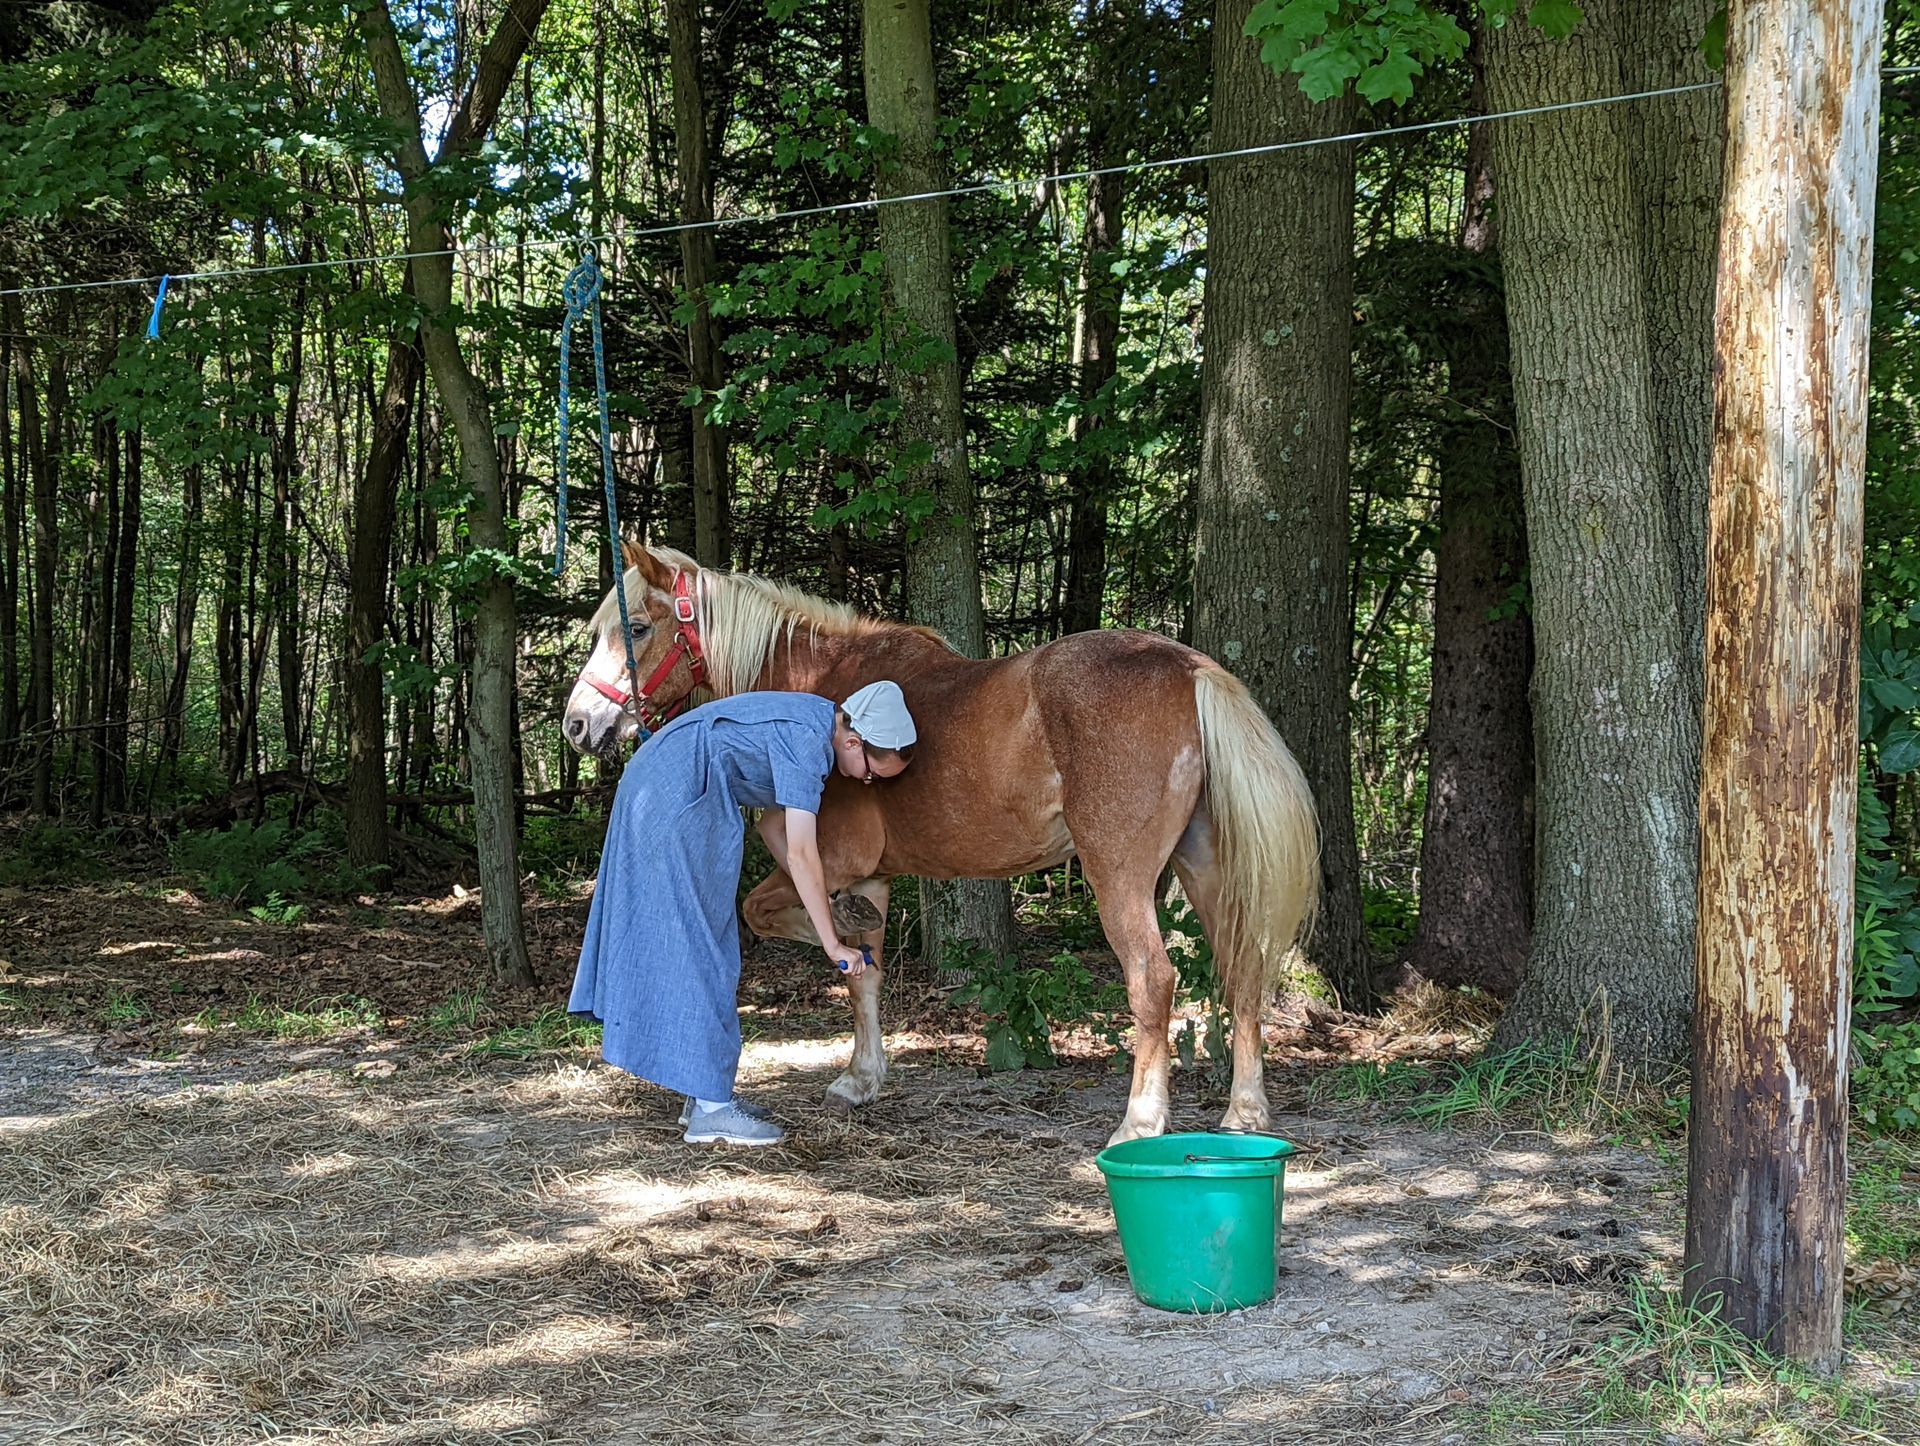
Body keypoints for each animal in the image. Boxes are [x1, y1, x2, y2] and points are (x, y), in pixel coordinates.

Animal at [562, 543, 1319, 1144]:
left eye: (635, 627)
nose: (576, 724)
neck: (826, 692)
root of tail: (1188, 669)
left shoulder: (829, 865)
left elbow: (770, 916)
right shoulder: (870, 876)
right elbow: (862, 975)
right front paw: (861, 1078)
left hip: (1119, 876)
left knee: (1152, 980)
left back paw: (1141, 1120)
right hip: (1204, 865)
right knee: (1241, 968)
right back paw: (1244, 1112)